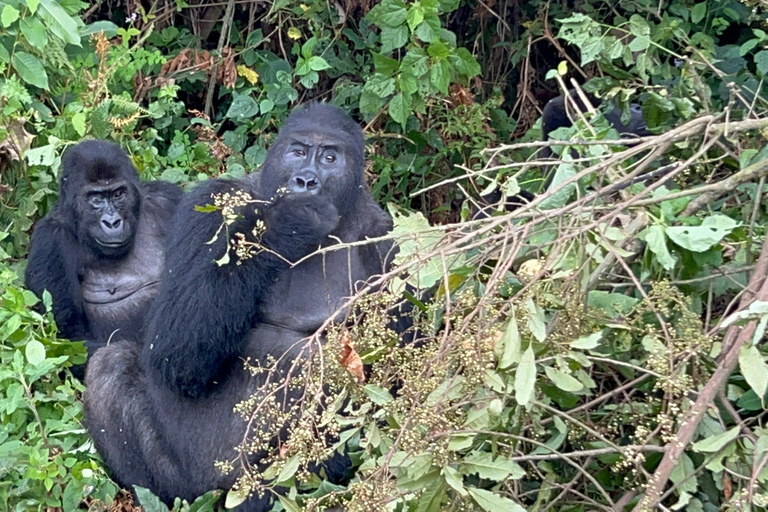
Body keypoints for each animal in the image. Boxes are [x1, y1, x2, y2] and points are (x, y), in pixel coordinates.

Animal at [25, 140, 183, 376]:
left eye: (118, 194)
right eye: (96, 199)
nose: (112, 222)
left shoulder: (168, 198)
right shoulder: (49, 242)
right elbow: (67, 339)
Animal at [85, 102, 396, 510]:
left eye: (330, 158)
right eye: (298, 152)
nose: (306, 181)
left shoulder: (389, 243)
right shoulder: (211, 200)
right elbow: (176, 351)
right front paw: (290, 221)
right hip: (191, 488)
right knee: (111, 365)